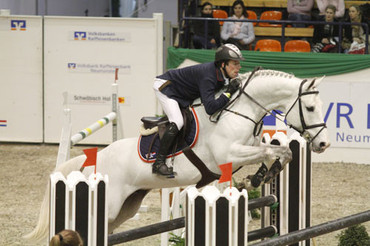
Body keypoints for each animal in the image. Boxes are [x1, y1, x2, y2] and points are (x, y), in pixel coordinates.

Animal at [26, 69, 332, 242]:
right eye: (310, 107)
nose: (324, 144)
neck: (241, 111)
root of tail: (90, 163)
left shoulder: (242, 154)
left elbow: (277, 151)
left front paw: (259, 177)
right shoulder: (230, 153)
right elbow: (273, 150)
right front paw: (257, 178)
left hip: (126, 207)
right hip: (111, 204)